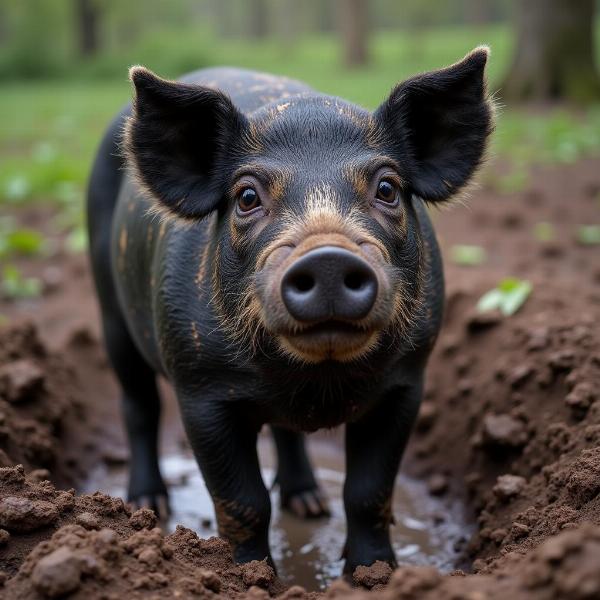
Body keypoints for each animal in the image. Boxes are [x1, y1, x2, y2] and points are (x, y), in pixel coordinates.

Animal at [88, 47, 492, 572]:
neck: (313, 382)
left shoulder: (407, 379)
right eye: (246, 197)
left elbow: (369, 491)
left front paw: (373, 573)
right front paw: (250, 574)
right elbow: (242, 500)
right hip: (110, 310)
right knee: (138, 405)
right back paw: (148, 504)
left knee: (287, 435)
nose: (328, 257)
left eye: (387, 188)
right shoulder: (199, 387)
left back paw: (310, 505)